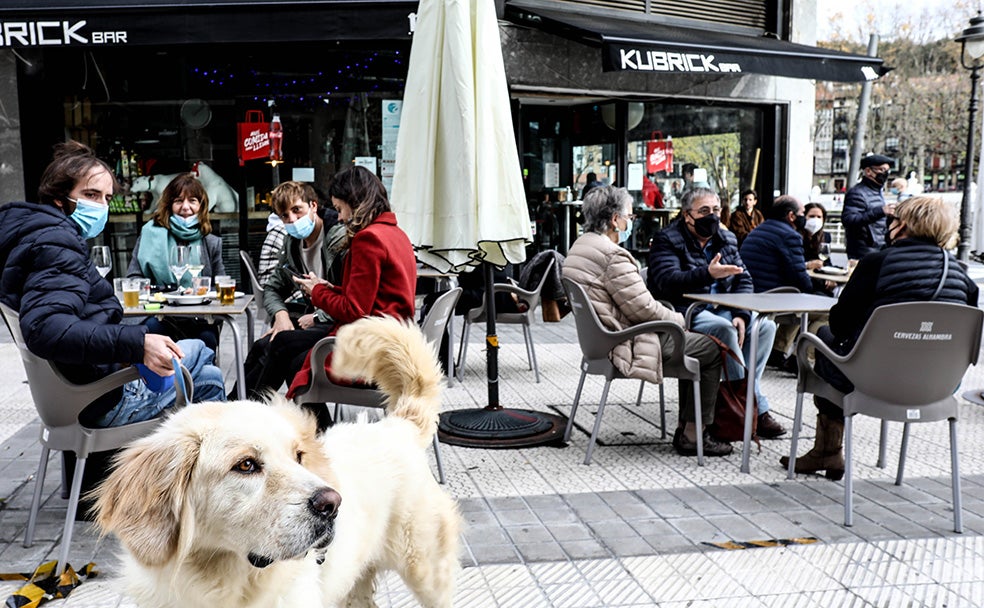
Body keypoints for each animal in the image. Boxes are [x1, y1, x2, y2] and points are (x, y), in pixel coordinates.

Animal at [93, 316, 462, 608]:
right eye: (246, 465)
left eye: (298, 457)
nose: (332, 503)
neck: (220, 582)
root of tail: (398, 425)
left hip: (428, 574)